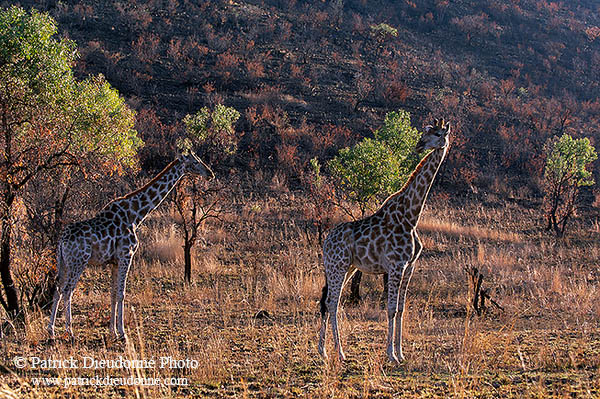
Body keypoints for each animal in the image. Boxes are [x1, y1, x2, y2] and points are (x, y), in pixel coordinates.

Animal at [48, 152, 214, 342]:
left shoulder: (114, 261)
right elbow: (122, 293)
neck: (136, 214)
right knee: (68, 291)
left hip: (64, 263)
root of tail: (62, 240)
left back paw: (51, 331)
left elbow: (113, 294)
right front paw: (123, 334)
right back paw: (70, 332)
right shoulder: (126, 255)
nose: (210, 174)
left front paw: (112, 332)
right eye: (195, 162)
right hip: (78, 261)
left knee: (57, 289)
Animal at [318, 118, 450, 362]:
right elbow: (390, 309)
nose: (419, 145)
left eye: (437, 134)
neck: (411, 215)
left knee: (327, 300)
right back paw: (339, 352)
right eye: (426, 133)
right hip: (337, 266)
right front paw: (391, 355)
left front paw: (401, 353)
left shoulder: (409, 266)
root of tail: (326, 242)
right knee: (332, 302)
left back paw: (322, 350)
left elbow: (401, 309)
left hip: (347, 267)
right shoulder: (396, 265)